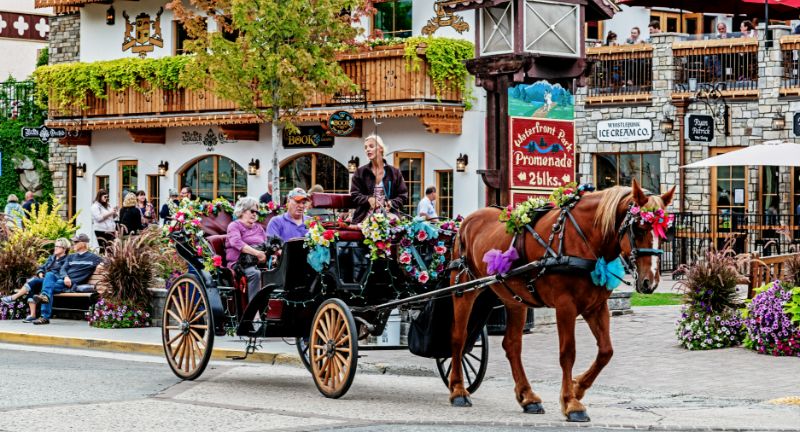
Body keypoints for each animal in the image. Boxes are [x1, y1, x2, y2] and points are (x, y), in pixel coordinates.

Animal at [446, 179, 672, 422]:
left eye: (665, 231)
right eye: (639, 228)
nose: (650, 281)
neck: (583, 239)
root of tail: (467, 220)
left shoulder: (596, 306)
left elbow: (606, 351)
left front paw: (578, 387)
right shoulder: (565, 305)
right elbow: (567, 353)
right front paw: (571, 403)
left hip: (515, 300)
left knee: (512, 345)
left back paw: (528, 397)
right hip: (463, 289)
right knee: (459, 338)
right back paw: (458, 390)